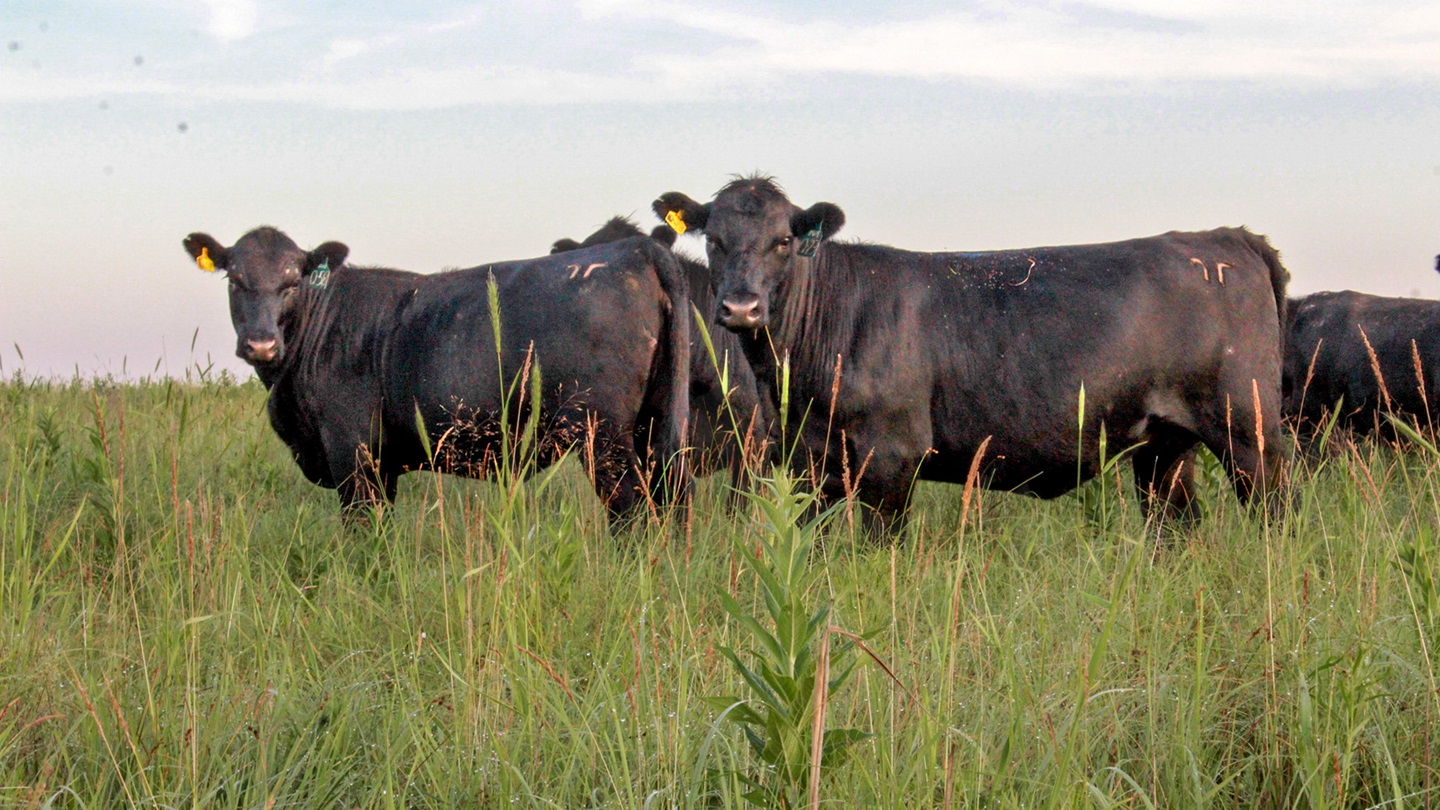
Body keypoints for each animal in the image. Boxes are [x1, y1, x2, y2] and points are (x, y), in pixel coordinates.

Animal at [182, 226, 690, 526]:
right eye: (234, 280)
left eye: (293, 281)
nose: (261, 344)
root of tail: (634, 248)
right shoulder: (381, 466)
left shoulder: (352, 453)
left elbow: (363, 533)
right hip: (654, 428)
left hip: (600, 433)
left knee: (631, 512)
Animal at [654, 175, 1290, 536]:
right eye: (714, 241)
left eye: (784, 241)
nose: (741, 307)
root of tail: (1225, 237)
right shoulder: (812, 460)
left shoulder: (891, 456)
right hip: (1165, 445)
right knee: (1176, 527)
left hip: (1248, 432)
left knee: (1277, 514)